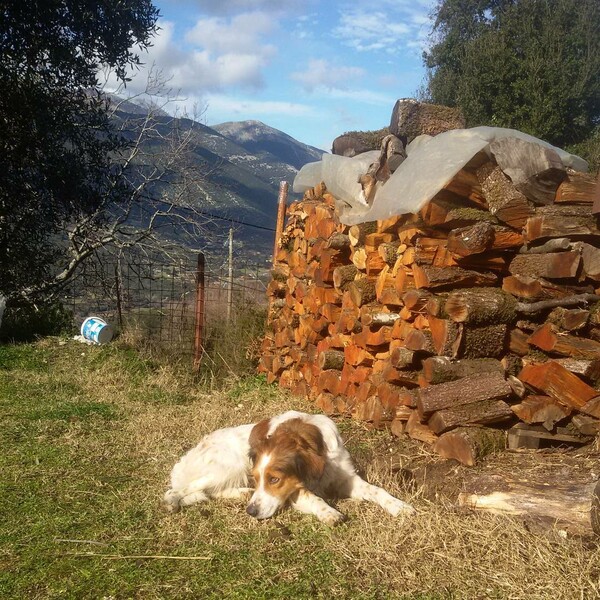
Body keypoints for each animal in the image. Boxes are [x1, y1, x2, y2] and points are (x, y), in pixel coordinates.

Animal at [164, 410, 418, 524]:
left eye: (274, 479)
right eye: (258, 477)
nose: (251, 512)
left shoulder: (345, 477)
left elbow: (377, 490)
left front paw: (399, 506)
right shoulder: (294, 490)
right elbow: (314, 498)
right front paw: (329, 512)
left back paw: (242, 493)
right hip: (230, 465)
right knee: (177, 491)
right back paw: (172, 503)